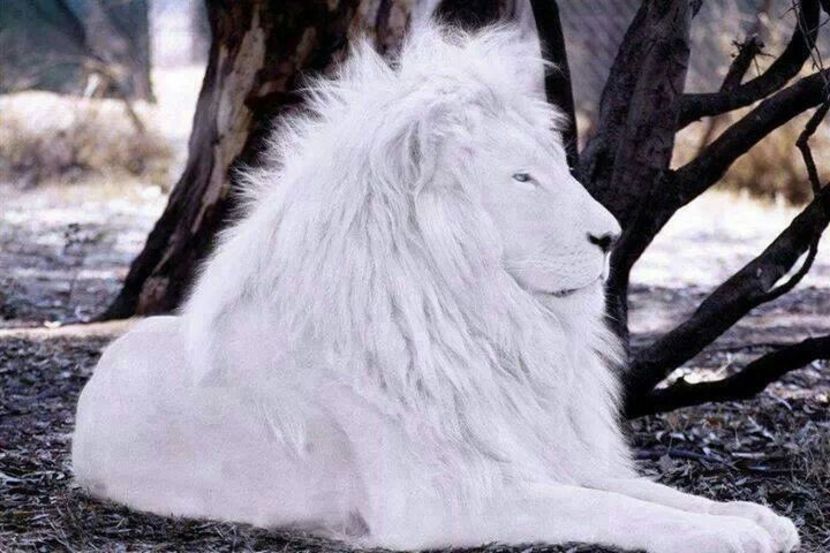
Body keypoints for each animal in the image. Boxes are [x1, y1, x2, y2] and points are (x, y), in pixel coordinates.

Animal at [72, 24, 799, 552]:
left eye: (557, 167)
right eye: (522, 178)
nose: (611, 236)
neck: (477, 321)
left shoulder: (543, 450)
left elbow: (641, 491)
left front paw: (756, 516)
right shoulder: (445, 500)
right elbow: (612, 510)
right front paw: (729, 534)